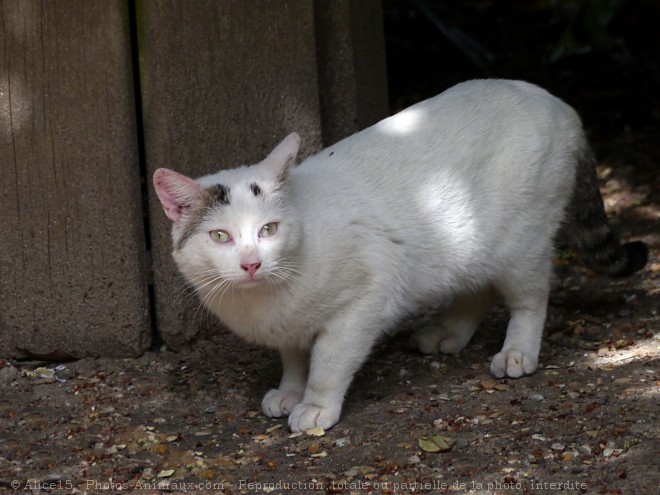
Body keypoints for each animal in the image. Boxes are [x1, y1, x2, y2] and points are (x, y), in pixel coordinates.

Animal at [153, 79, 644, 432]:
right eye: (220, 236)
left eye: (268, 230)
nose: (252, 263)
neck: (268, 300)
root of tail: (560, 104)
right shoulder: (288, 327)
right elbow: (293, 359)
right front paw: (290, 390)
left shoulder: (362, 303)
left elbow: (327, 362)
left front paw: (314, 405)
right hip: (469, 247)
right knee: (479, 290)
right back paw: (447, 333)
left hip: (520, 242)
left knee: (530, 297)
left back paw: (517, 352)